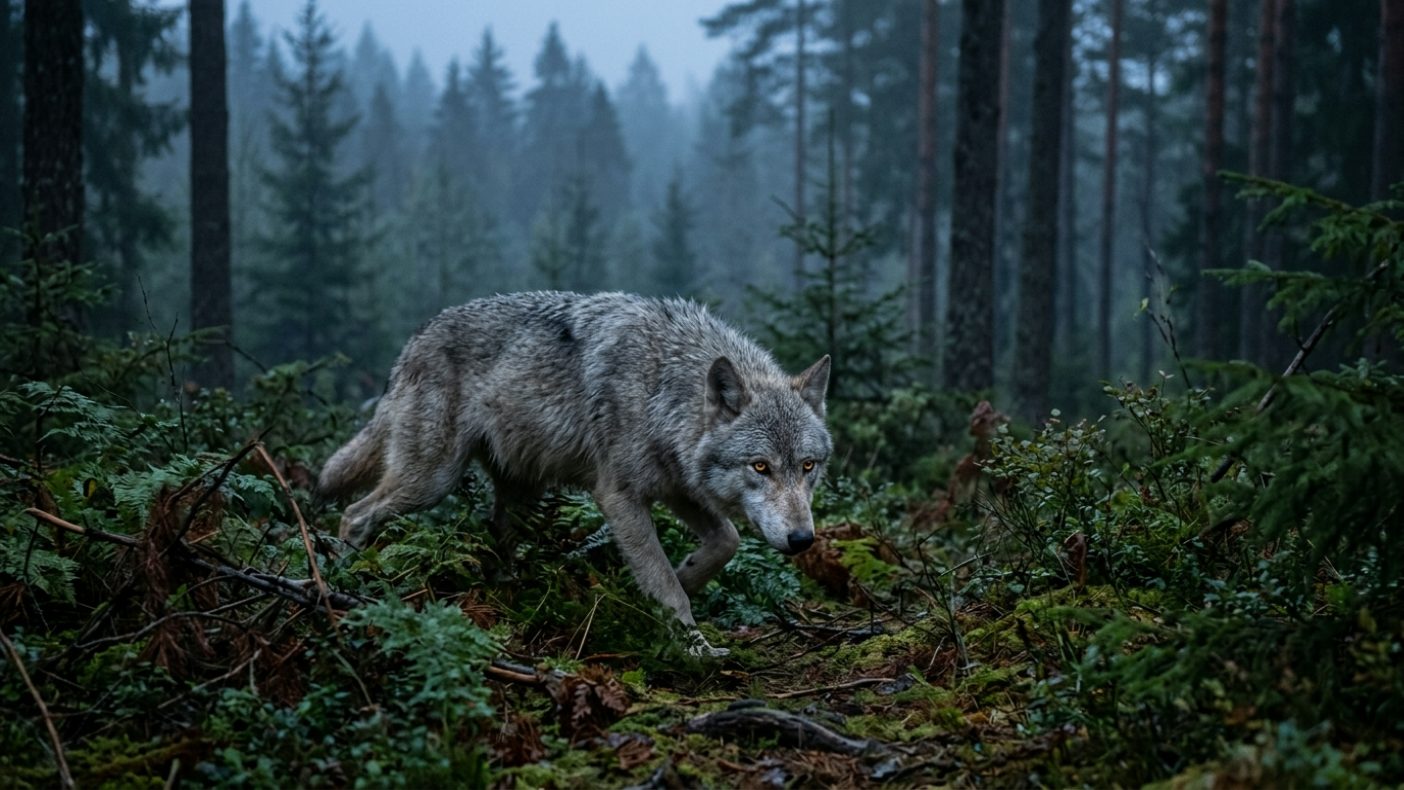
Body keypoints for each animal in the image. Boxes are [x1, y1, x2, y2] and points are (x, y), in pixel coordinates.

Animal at [317, 291, 832, 655]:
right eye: (760, 466)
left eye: (807, 466)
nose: (802, 540)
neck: (661, 387)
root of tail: (414, 338)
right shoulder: (619, 496)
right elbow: (665, 585)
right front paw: (693, 646)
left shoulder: (678, 487)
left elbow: (725, 542)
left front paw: (682, 577)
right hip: (431, 480)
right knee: (355, 513)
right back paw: (340, 577)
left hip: (519, 492)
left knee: (497, 533)